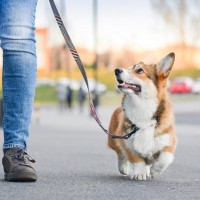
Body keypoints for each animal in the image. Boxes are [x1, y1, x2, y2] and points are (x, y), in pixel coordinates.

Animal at [108, 52, 177, 180]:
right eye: (130, 67)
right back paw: (124, 168)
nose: (116, 70)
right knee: (120, 154)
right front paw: (139, 173)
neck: (142, 108)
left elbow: (165, 158)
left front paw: (155, 171)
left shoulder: (169, 141)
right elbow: (137, 160)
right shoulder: (127, 143)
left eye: (139, 70)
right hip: (113, 139)